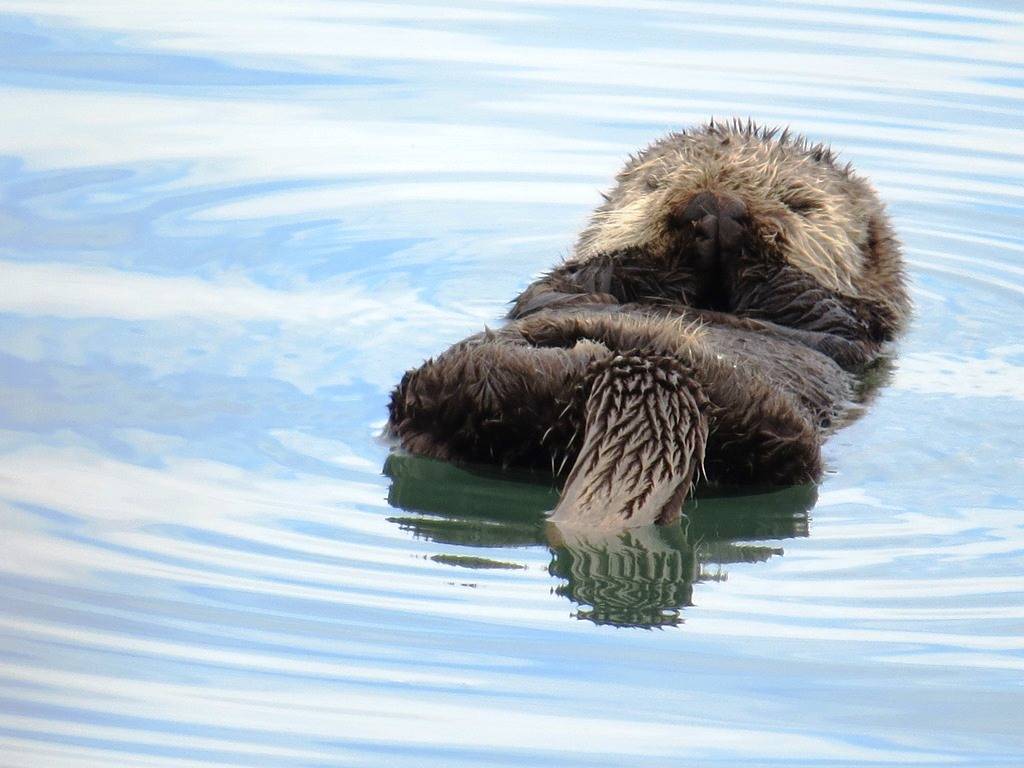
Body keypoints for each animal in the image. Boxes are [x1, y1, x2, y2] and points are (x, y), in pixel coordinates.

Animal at [387, 121, 909, 529]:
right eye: (654, 184)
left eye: (801, 204)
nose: (717, 201)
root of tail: (641, 375)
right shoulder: (570, 281)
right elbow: (598, 274)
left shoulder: (848, 321)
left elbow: (808, 303)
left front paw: (736, 234)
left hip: (769, 434)